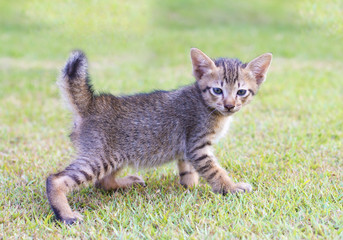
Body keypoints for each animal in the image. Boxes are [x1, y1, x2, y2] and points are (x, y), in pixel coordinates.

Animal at [47, 47, 274, 224]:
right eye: (217, 90)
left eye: (241, 92)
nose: (229, 105)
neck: (206, 105)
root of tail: (92, 103)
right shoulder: (197, 146)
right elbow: (216, 171)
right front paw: (232, 188)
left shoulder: (186, 149)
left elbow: (188, 171)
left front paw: (189, 186)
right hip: (99, 158)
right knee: (55, 179)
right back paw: (66, 215)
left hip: (117, 156)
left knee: (102, 182)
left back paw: (127, 183)